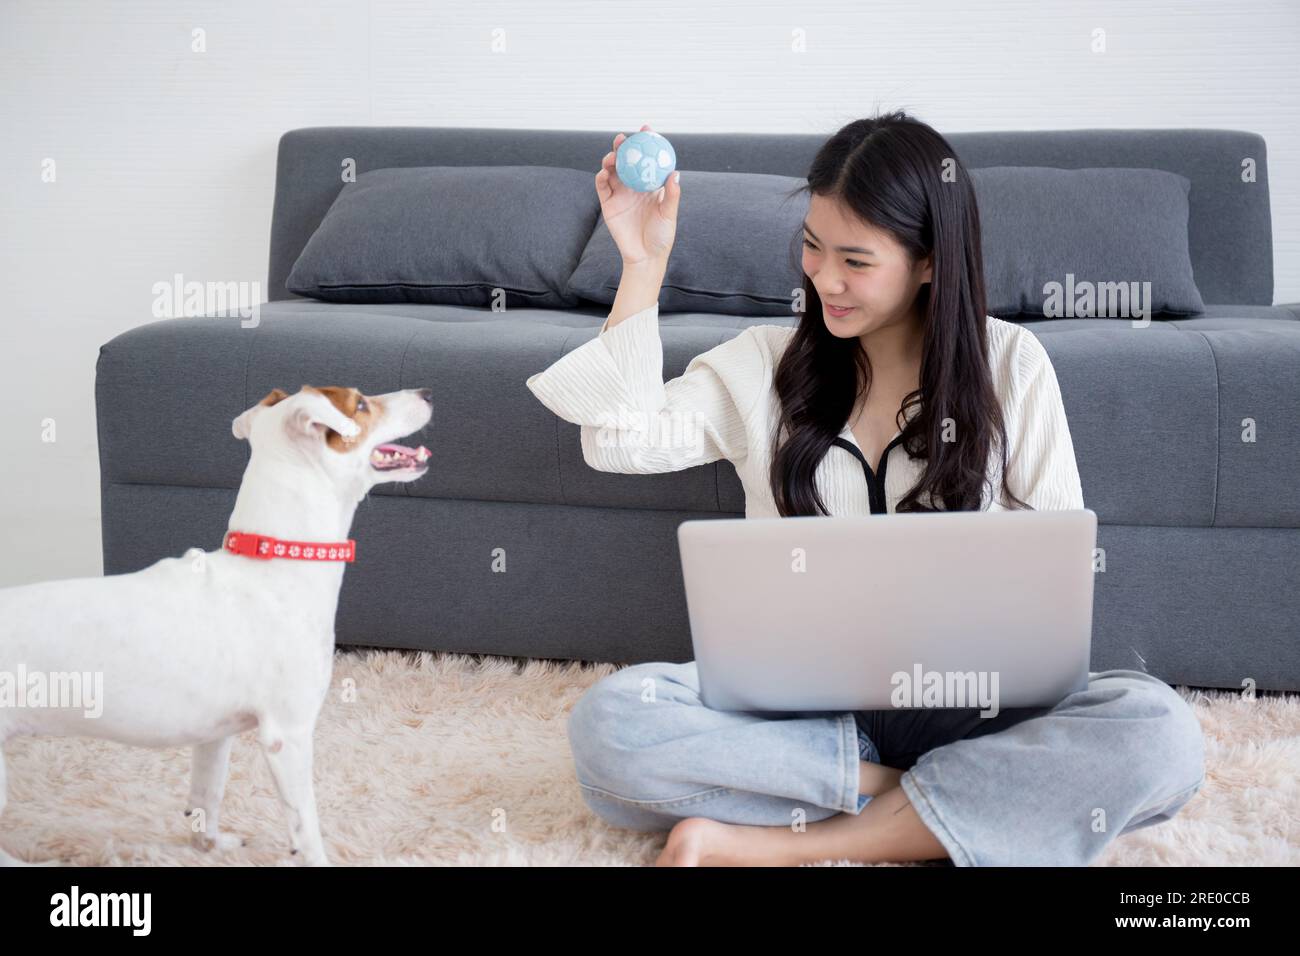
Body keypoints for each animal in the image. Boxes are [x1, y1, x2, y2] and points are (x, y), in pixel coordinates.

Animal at [0, 382, 436, 868]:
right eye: (360, 404)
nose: (426, 391)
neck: (275, 561)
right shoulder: (288, 736)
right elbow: (307, 830)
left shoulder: (214, 735)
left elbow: (206, 796)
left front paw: (208, 846)